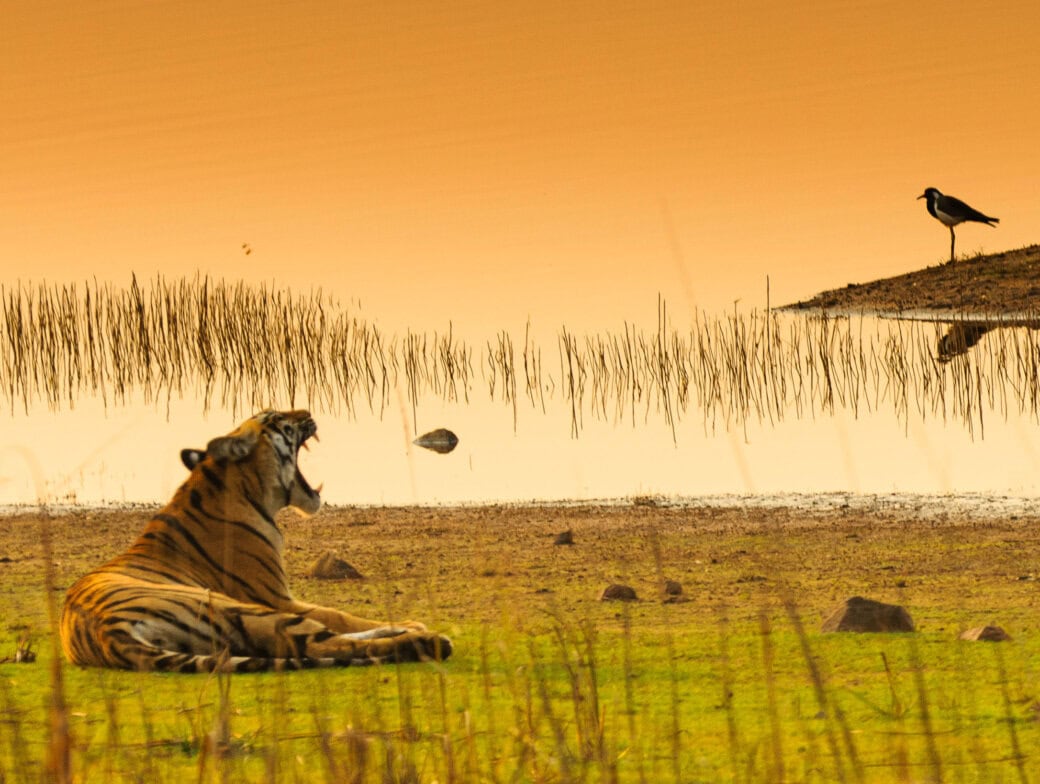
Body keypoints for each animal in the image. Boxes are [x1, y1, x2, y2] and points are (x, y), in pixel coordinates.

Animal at [60, 409, 452, 672]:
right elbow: (339, 615)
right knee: (322, 643)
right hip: (235, 607)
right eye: (278, 418)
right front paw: (415, 626)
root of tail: (105, 631)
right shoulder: (276, 596)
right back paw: (427, 640)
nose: (308, 411)